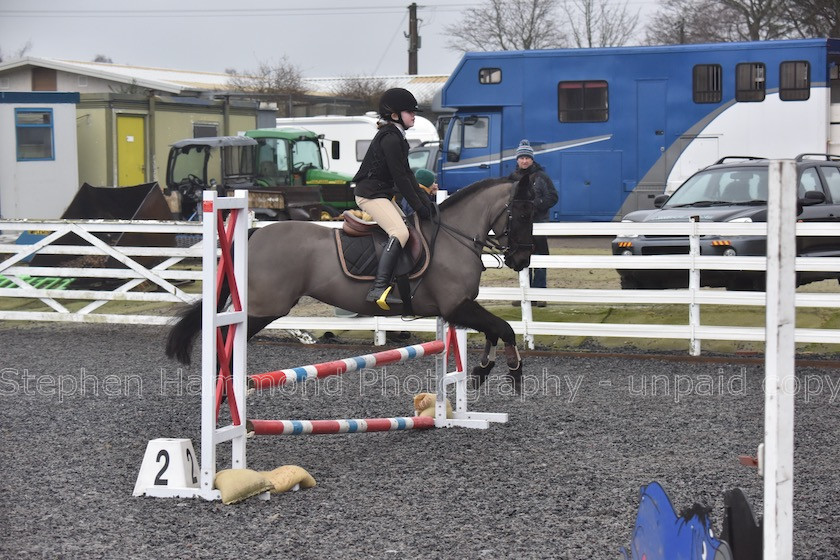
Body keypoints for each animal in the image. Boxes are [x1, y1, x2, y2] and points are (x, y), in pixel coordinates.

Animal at [167, 177, 536, 392]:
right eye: (523, 213)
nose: (522, 259)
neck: (452, 236)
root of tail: (255, 234)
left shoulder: (459, 308)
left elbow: (494, 330)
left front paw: (481, 371)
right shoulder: (456, 306)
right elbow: (504, 328)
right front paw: (514, 372)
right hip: (263, 310)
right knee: (227, 347)